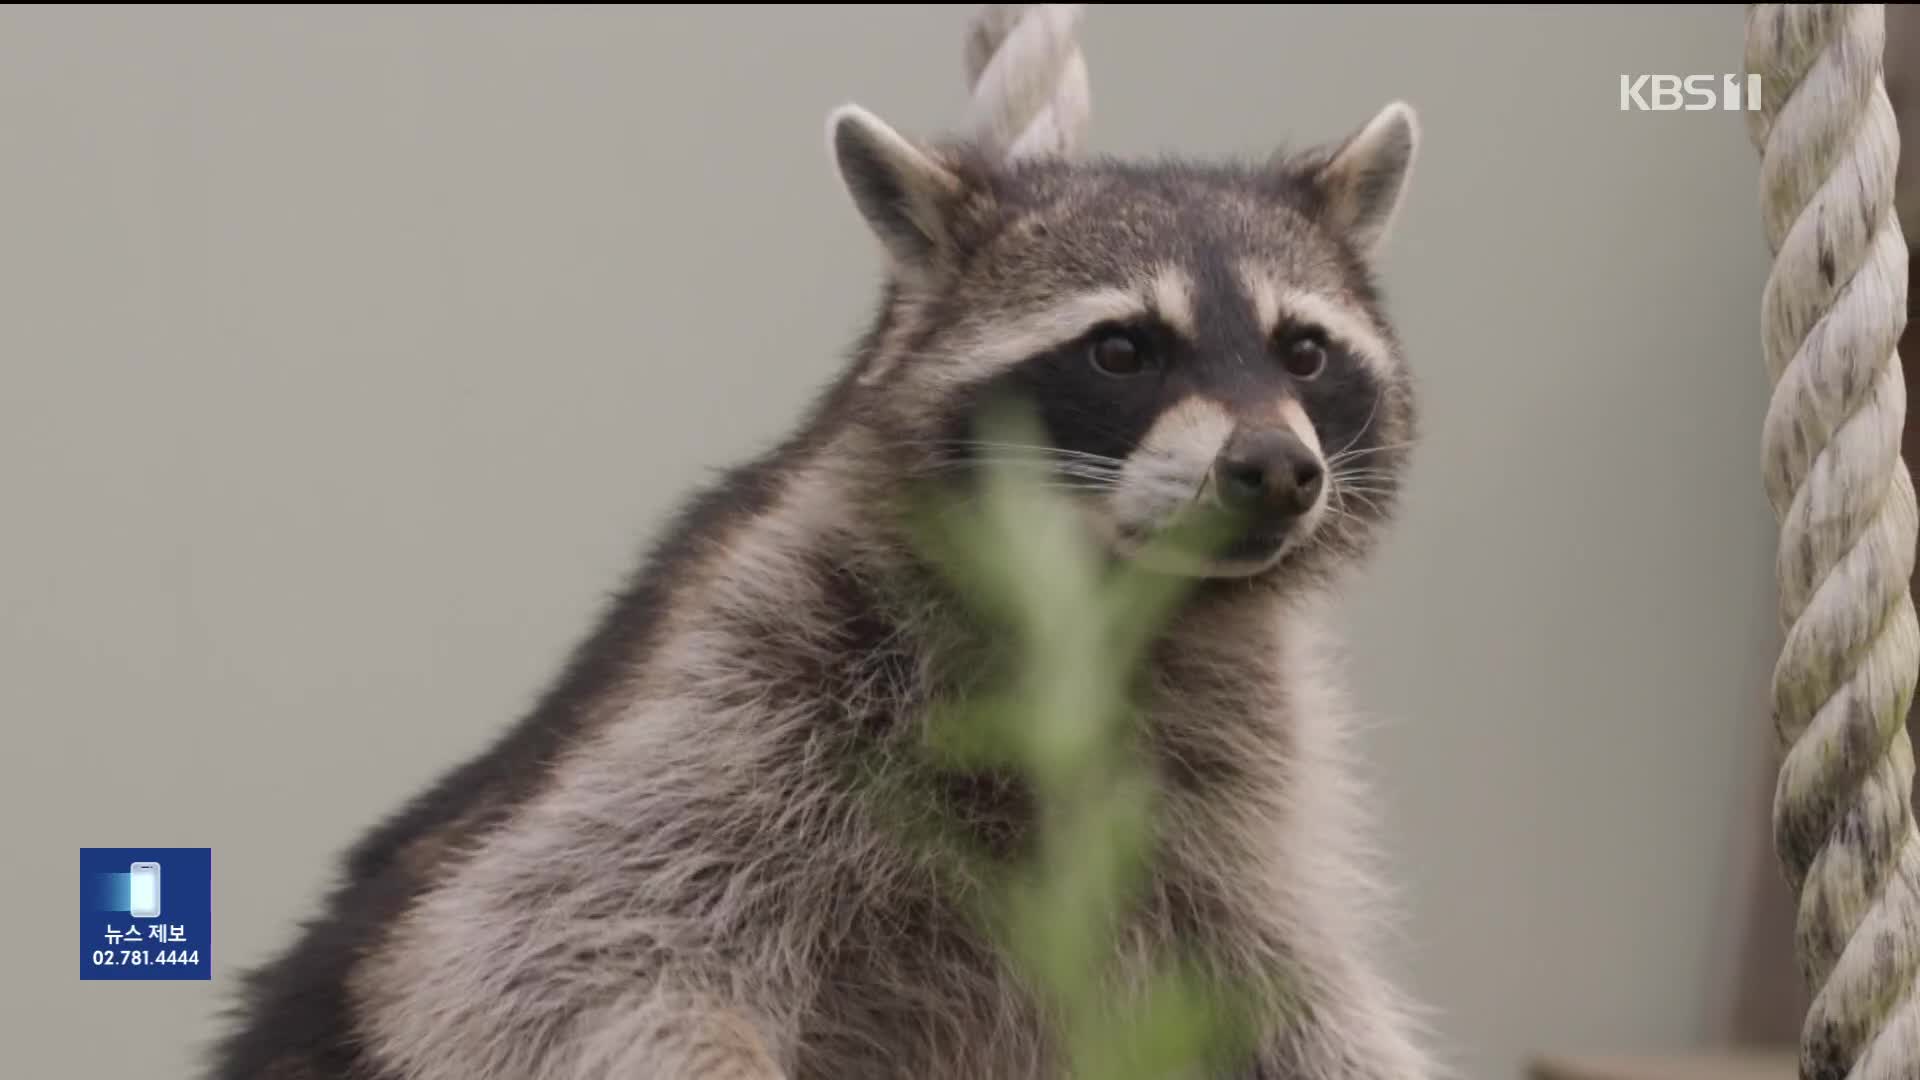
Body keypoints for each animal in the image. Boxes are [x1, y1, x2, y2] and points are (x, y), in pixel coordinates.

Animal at [206, 94, 1443, 1076]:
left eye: (1303, 352)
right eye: (1122, 351)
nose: (1276, 469)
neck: (1116, 592)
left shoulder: (1234, 761)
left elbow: (1282, 992)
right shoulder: (756, 656)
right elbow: (541, 948)